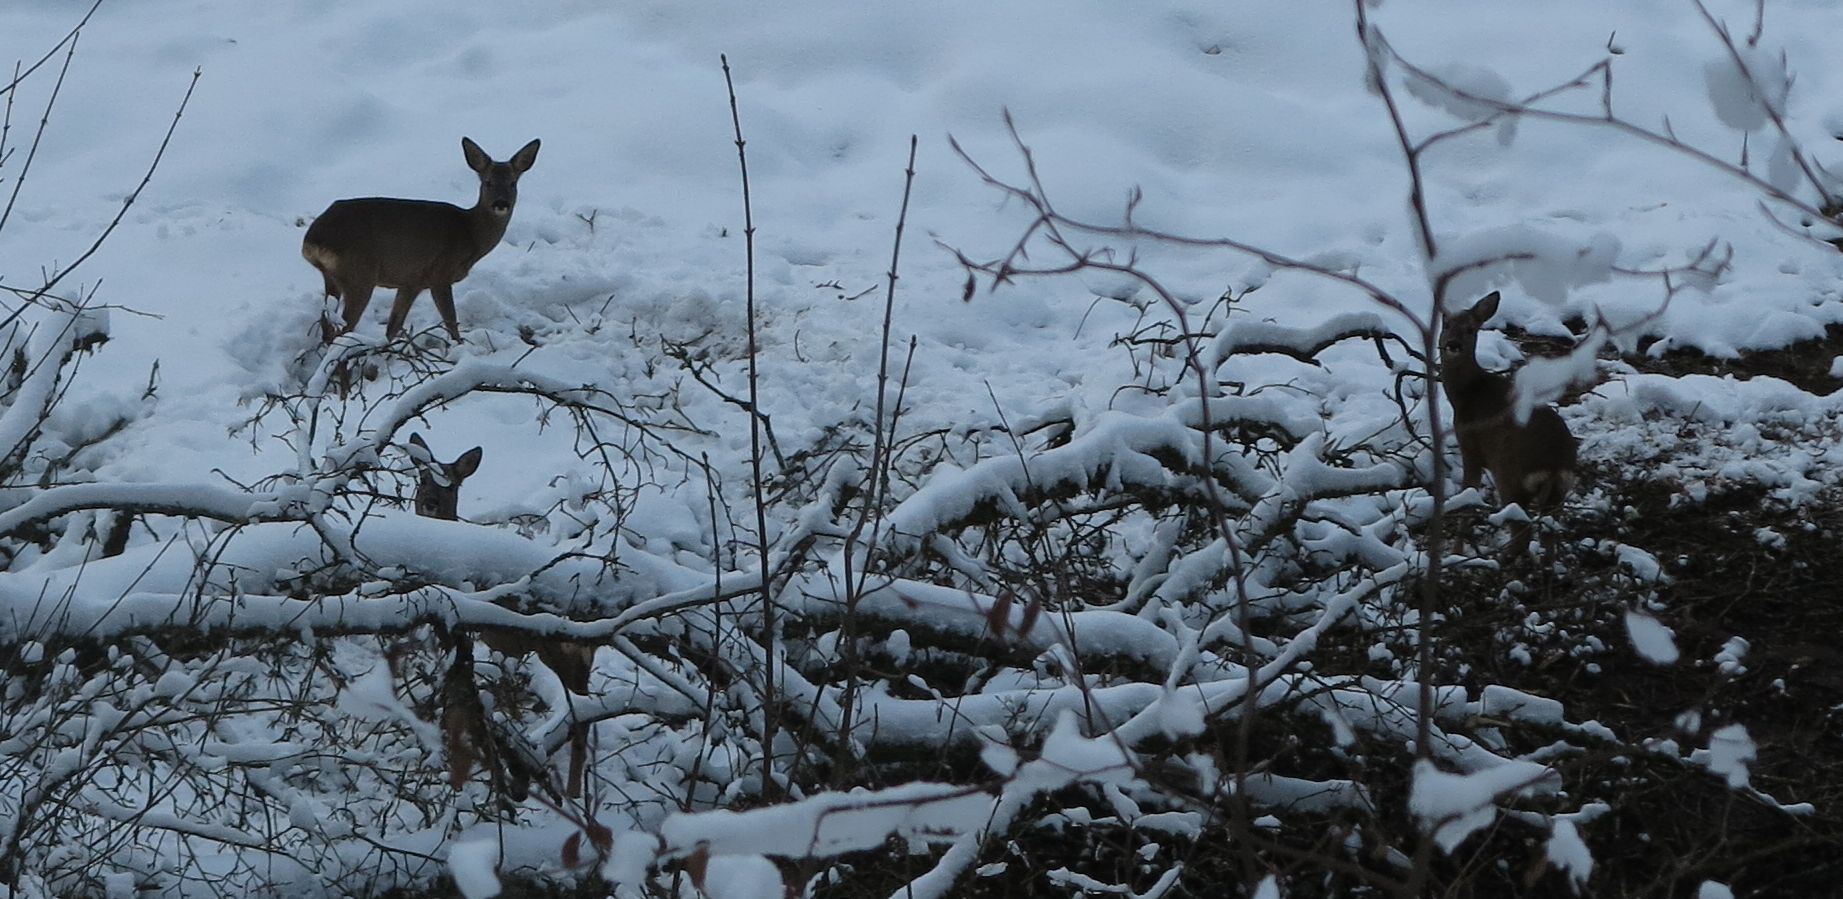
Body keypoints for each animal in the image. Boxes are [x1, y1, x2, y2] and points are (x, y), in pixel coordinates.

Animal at [302, 137, 541, 344]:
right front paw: (458, 346)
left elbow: (393, 326)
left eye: (513, 183)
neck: (470, 233)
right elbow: (451, 321)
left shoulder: (411, 281)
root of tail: (313, 240)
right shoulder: (439, 274)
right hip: (360, 275)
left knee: (326, 326)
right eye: (488, 182)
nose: (500, 204)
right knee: (342, 329)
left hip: (333, 278)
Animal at [1437, 291, 1584, 556]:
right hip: (1558, 493)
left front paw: (1456, 552)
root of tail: (1554, 466)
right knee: (1548, 538)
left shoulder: (1470, 447)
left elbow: (1468, 498)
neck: (1468, 394)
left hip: (1510, 476)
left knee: (1521, 537)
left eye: (1471, 329)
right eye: (1447, 324)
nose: (1453, 344)